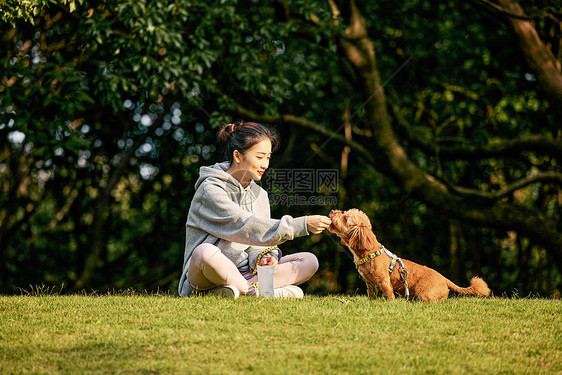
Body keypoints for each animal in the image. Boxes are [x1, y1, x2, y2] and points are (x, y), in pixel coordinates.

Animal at [326, 209, 488, 302]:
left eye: (345, 218)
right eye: (343, 212)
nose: (333, 211)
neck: (369, 253)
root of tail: (445, 279)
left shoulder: (384, 280)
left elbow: (389, 294)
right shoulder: (370, 284)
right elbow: (371, 297)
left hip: (424, 293)